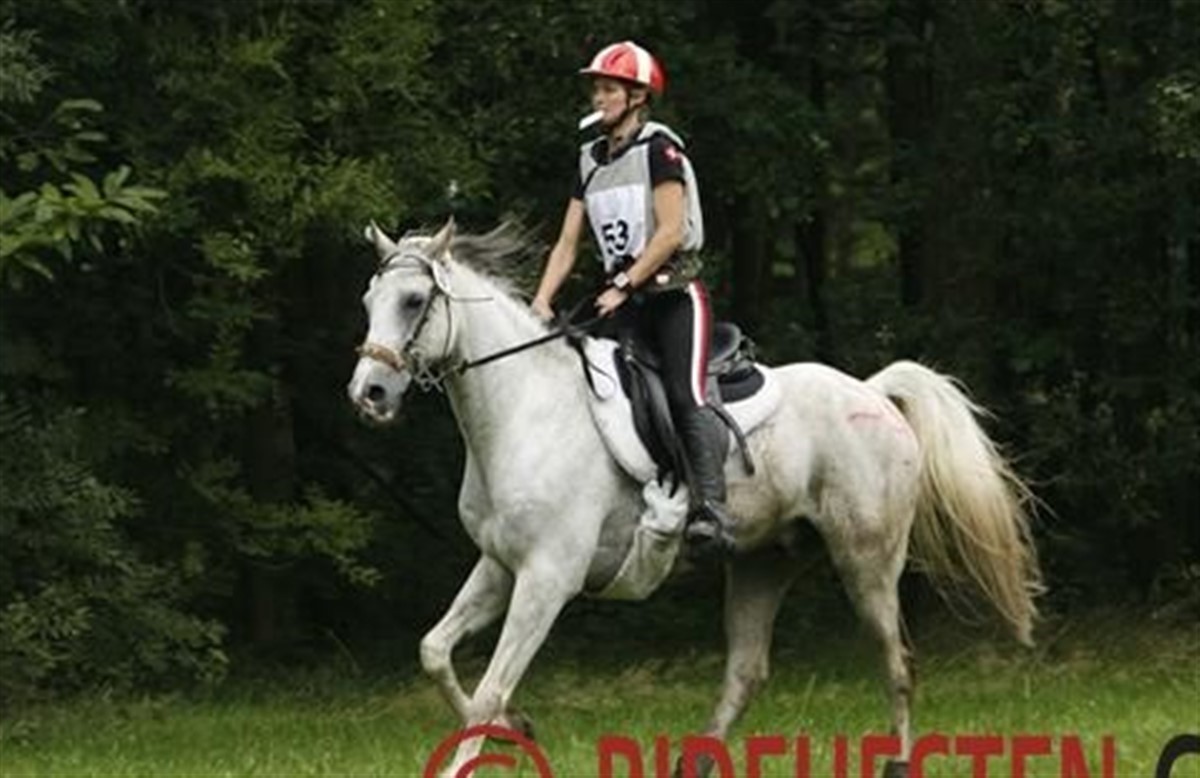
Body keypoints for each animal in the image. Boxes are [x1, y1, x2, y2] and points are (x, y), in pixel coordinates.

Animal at [347, 218, 1042, 777]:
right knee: (746, 672)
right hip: (763, 562)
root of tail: (872, 393)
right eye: (369, 300)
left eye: (414, 301)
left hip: (866, 561)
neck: (524, 409)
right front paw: (517, 732)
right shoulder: (499, 566)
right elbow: (435, 651)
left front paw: (476, 751)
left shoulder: (548, 577)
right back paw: (695, 761)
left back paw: (896, 762)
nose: (369, 393)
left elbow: (491, 688)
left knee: (896, 661)